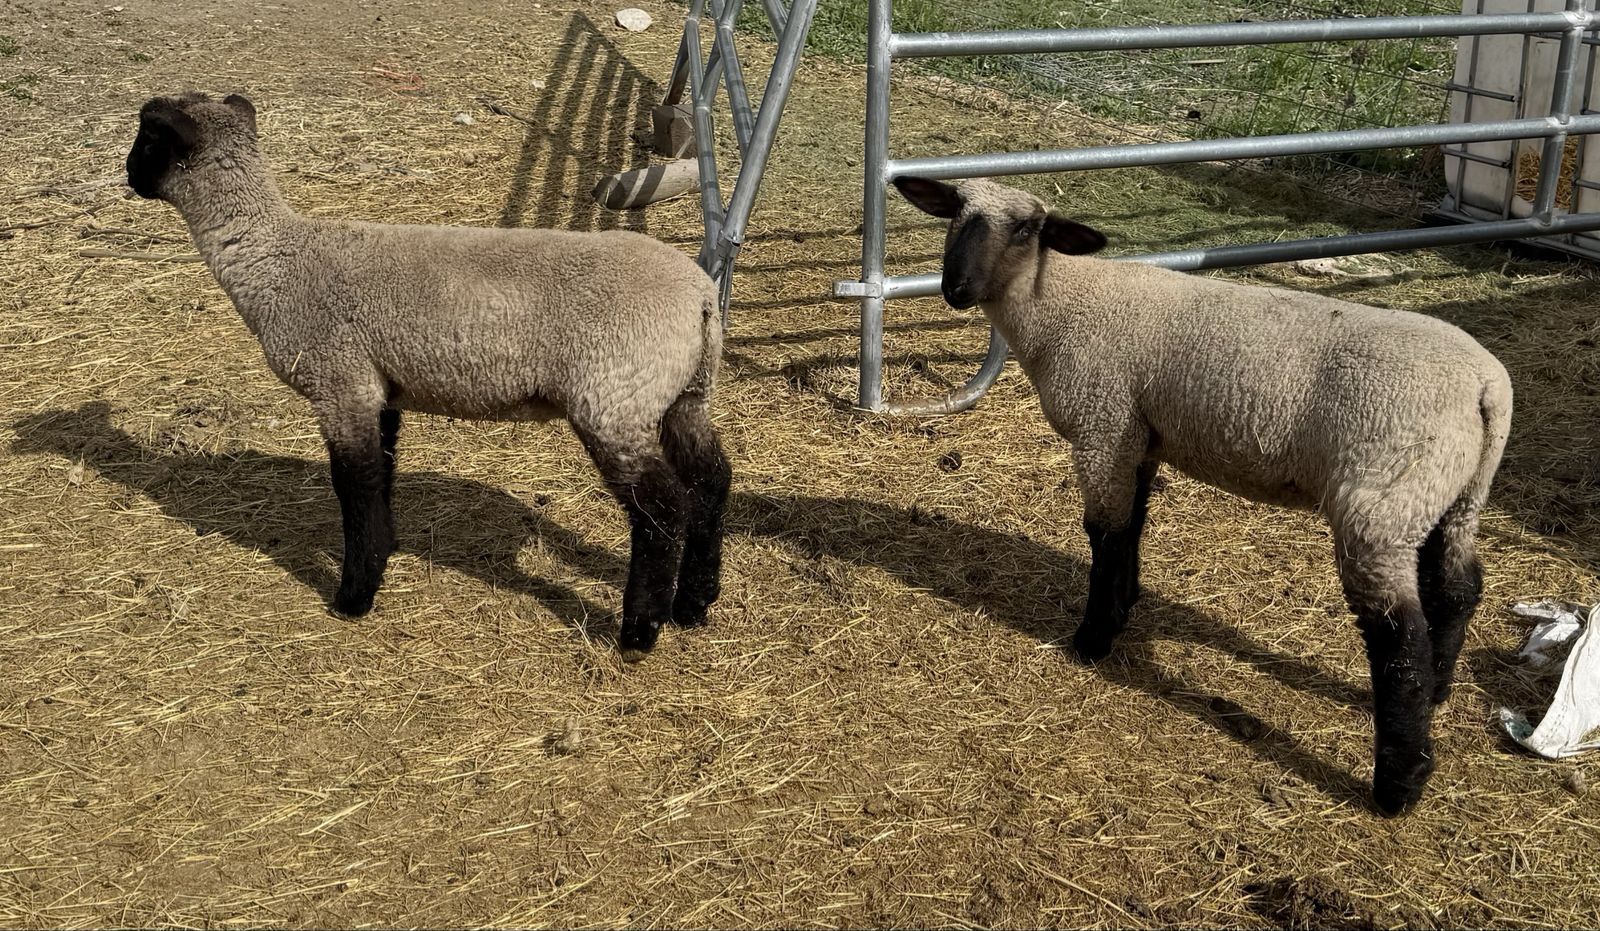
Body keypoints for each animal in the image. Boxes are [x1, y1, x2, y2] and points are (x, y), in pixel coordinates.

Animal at [125, 91, 731, 660]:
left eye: (149, 138)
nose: (128, 176)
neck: (280, 262)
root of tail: (701, 299)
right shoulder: (379, 390)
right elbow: (382, 474)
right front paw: (383, 554)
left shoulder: (340, 383)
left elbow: (355, 484)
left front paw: (354, 596)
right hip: (682, 396)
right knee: (711, 481)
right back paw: (693, 605)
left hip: (614, 399)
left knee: (662, 509)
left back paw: (639, 632)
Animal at [894, 175, 1513, 816]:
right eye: (955, 211)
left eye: (1025, 229)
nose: (954, 288)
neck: (1060, 304)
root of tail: (1485, 386)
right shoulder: (1135, 436)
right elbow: (1133, 524)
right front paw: (1125, 603)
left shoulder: (1101, 426)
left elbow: (1105, 534)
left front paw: (1093, 638)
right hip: (1450, 492)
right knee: (1459, 587)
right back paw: (1440, 688)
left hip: (1381, 500)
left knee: (1399, 638)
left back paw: (1399, 785)